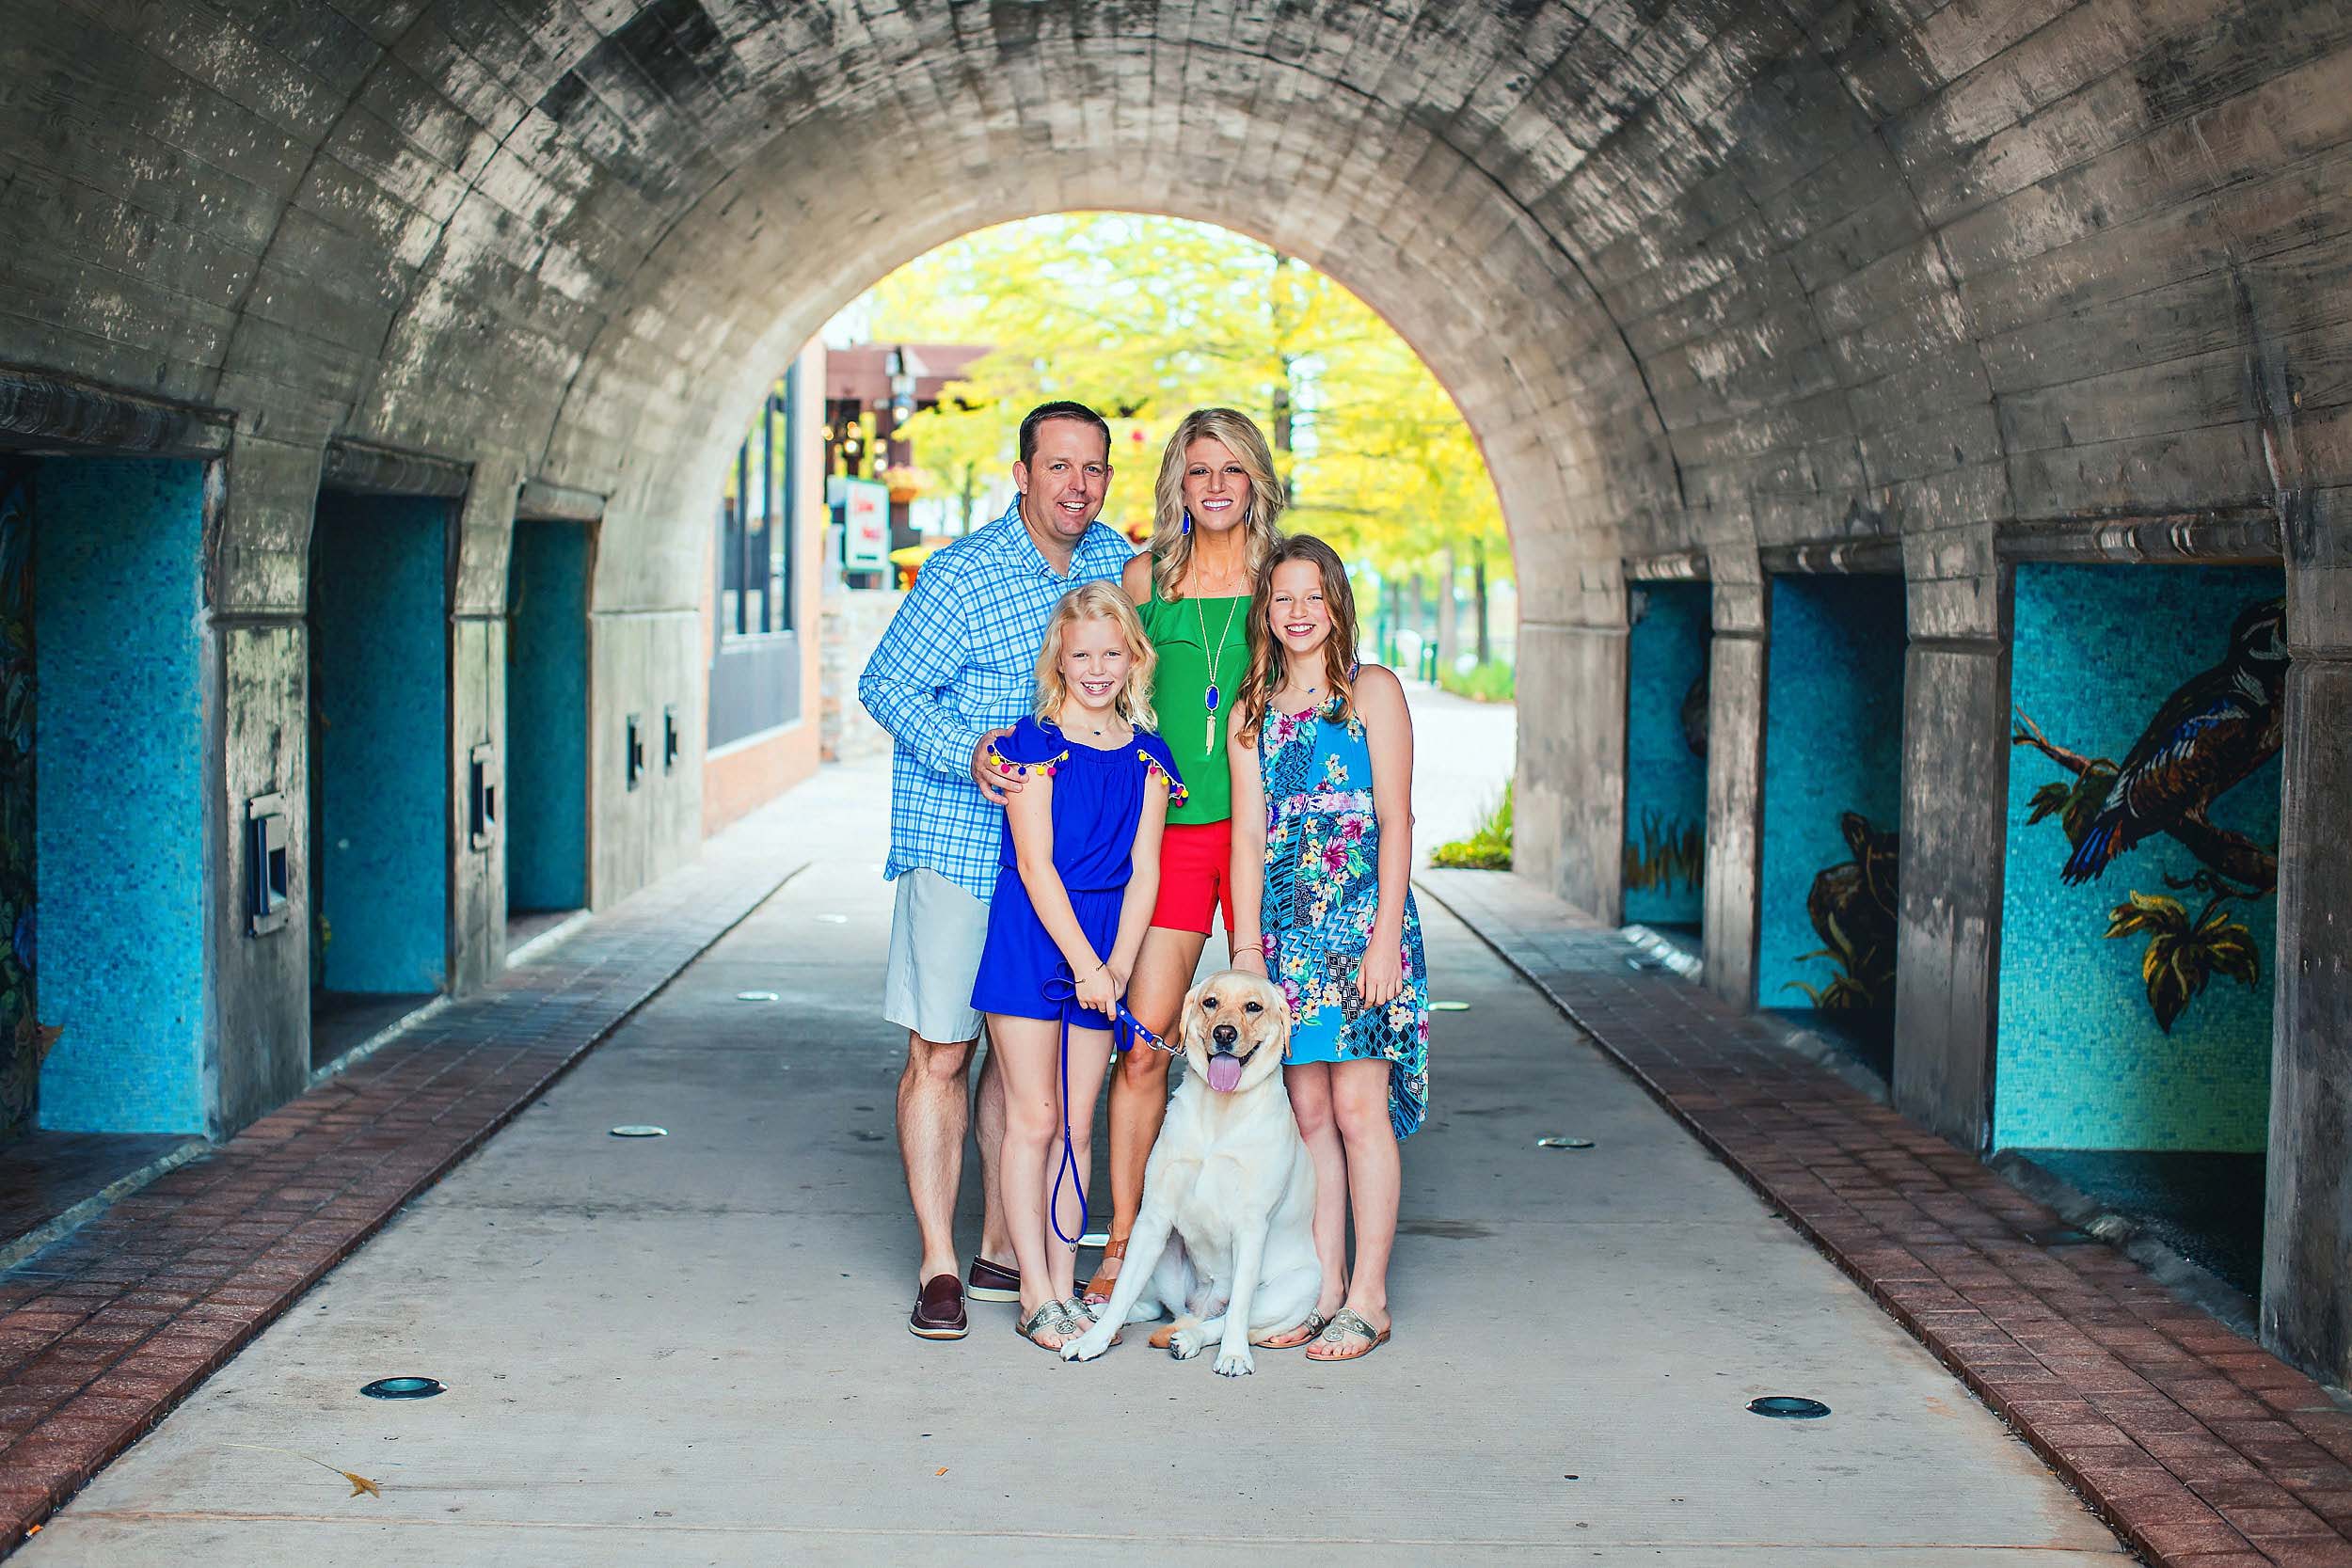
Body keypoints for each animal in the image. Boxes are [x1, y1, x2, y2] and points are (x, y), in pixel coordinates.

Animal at [1068, 968, 1327, 1372]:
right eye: (1211, 1002)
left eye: (1253, 1007)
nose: (1224, 1034)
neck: (1220, 1113)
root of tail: (1200, 1306)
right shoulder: (1152, 1217)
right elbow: (1124, 1288)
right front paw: (1094, 1340)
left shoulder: (1252, 1226)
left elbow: (1238, 1310)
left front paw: (1234, 1355)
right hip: (1161, 1252)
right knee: (1149, 1305)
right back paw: (1100, 1312)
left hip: (1295, 1288)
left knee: (1222, 1320)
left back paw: (1190, 1338)